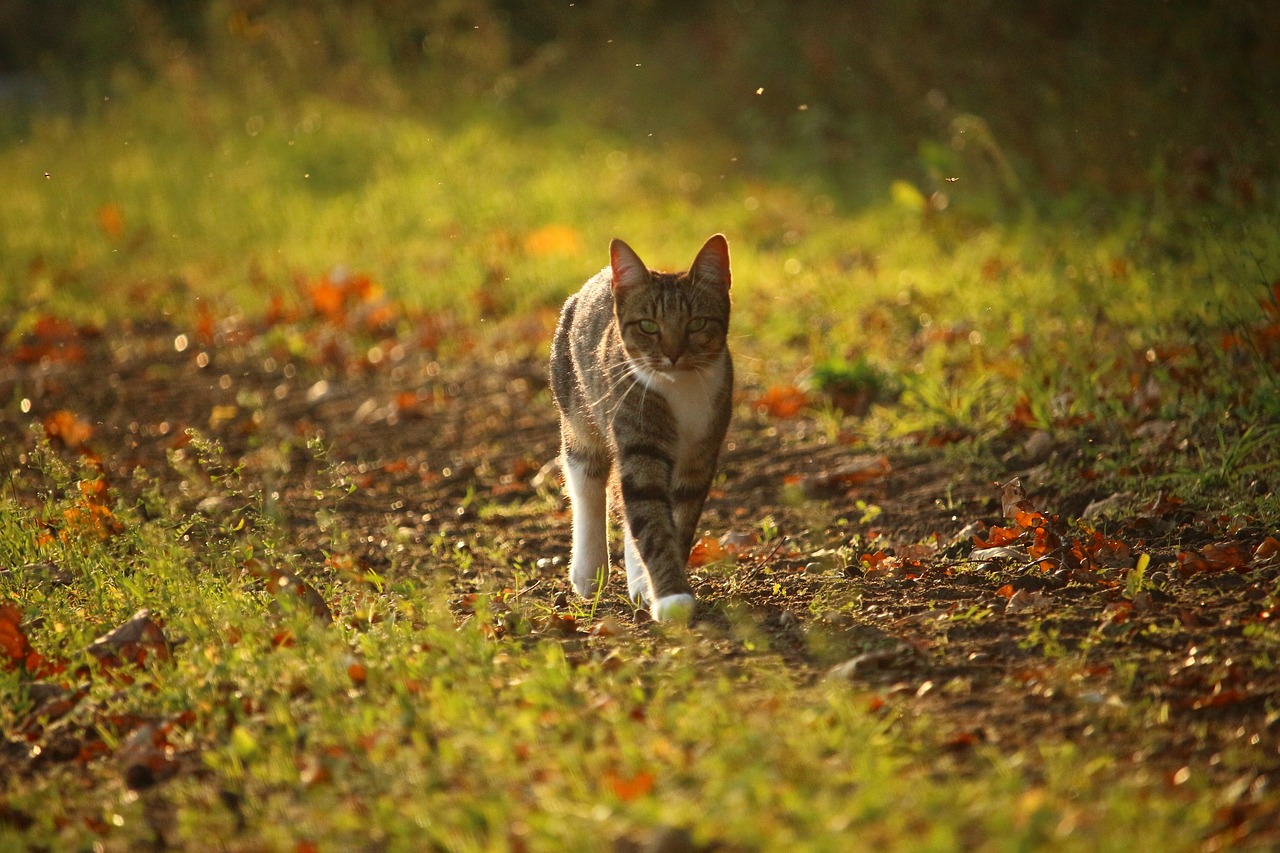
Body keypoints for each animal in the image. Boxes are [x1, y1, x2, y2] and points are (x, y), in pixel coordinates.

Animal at [547, 233, 737, 617]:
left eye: (696, 323)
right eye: (648, 325)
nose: (673, 354)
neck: (680, 388)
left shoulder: (701, 452)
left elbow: (677, 518)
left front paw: (656, 587)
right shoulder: (638, 438)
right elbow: (648, 511)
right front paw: (672, 598)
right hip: (576, 407)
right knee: (586, 480)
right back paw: (588, 572)